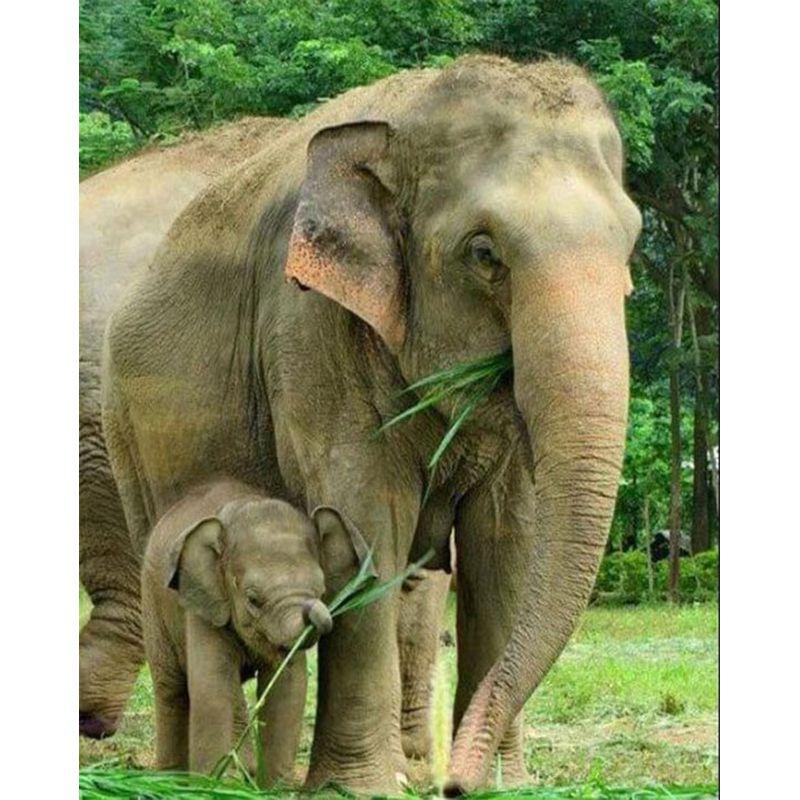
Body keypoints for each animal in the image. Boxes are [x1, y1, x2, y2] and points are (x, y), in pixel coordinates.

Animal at [141, 477, 372, 779]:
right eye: (253, 599)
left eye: (321, 590)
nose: (316, 612)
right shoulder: (203, 604)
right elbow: (213, 683)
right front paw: (217, 782)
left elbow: (287, 687)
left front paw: (275, 784)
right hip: (153, 605)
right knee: (170, 688)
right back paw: (170, 777)